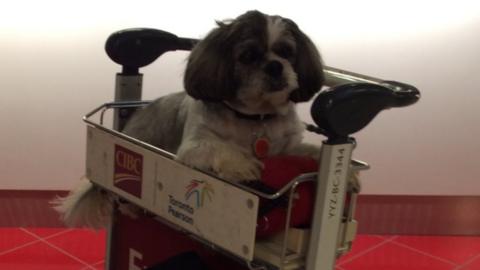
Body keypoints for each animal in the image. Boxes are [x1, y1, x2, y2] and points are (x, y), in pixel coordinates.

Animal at [53, 10, 322, 228]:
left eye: (287, 52)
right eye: (247, 56)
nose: (276, 66)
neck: (254, 118)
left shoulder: (285, 148)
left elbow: (306, 150)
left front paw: (324, 159)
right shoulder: (195, 145)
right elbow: (221, 147)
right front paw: (241, 164)